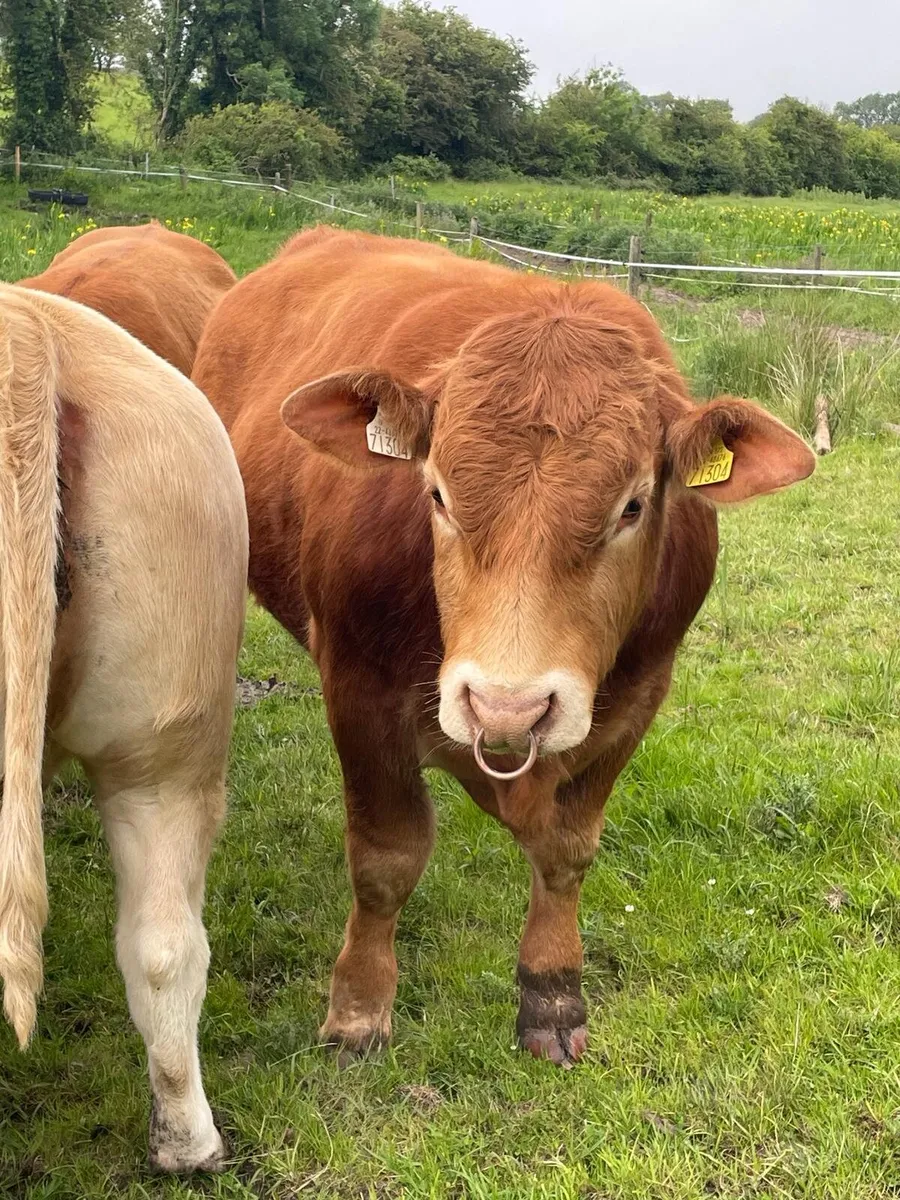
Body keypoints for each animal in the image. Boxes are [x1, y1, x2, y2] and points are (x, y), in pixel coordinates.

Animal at [193, 225, 815, 1068]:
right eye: (436, 493)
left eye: (631, 506)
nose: (506, 704)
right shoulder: (359, 691)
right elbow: (386, 857)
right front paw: (358, 1009)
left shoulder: (638, 697)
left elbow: (566, 849)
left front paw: (552, 992)